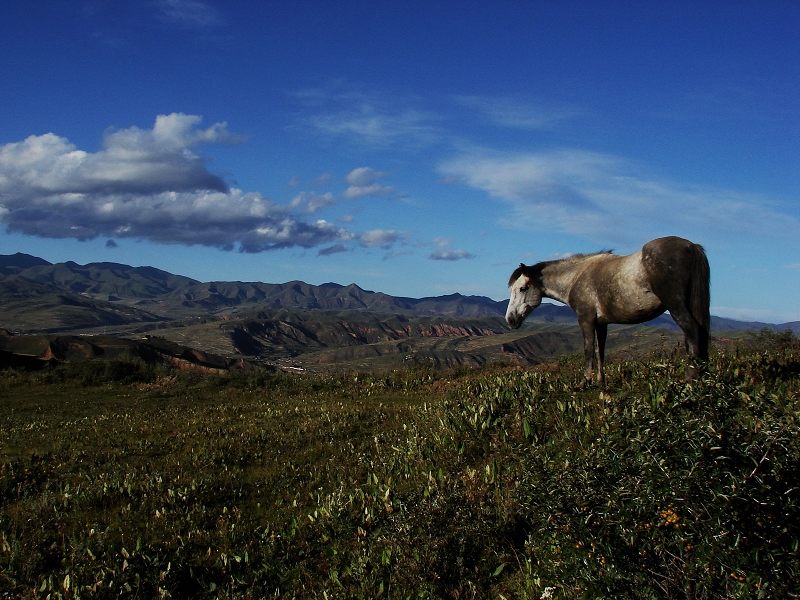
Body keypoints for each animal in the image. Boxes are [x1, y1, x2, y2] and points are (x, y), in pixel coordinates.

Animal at [506, 236, 712, 384]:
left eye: (522, 288)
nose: (510, 320)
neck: (575, 277)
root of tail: (690, 246)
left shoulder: (586, 320)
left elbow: (589, 349)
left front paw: (585, 382)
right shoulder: (601, 324)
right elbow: (600, 351)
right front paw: (600, 381)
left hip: (676, 305)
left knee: (693, 332)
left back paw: (690, 379)